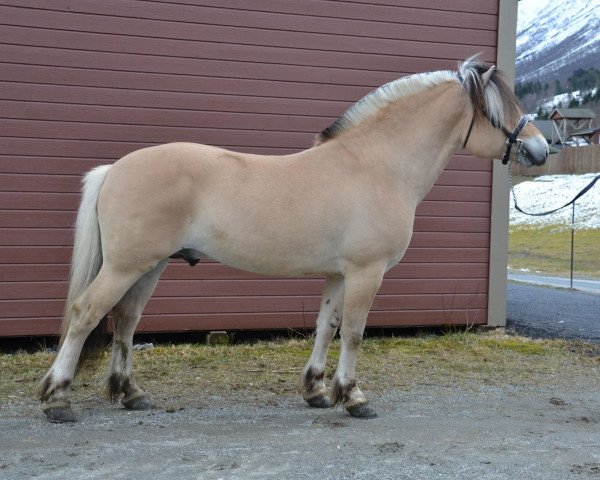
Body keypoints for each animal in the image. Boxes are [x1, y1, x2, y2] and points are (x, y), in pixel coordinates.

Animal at [37, 57, 548, 424]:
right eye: (499, 110)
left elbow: (326, 327)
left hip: (150, 266)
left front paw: (317, 391)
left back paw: (132, 394)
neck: (376, 166)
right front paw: (354, 397)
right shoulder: (366, 273)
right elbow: (355, 333)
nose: (541, 148)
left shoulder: (339, 275)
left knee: (125, 320)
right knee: (86, 314)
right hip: (126, 266)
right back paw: (58, 400)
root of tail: (115, 169)